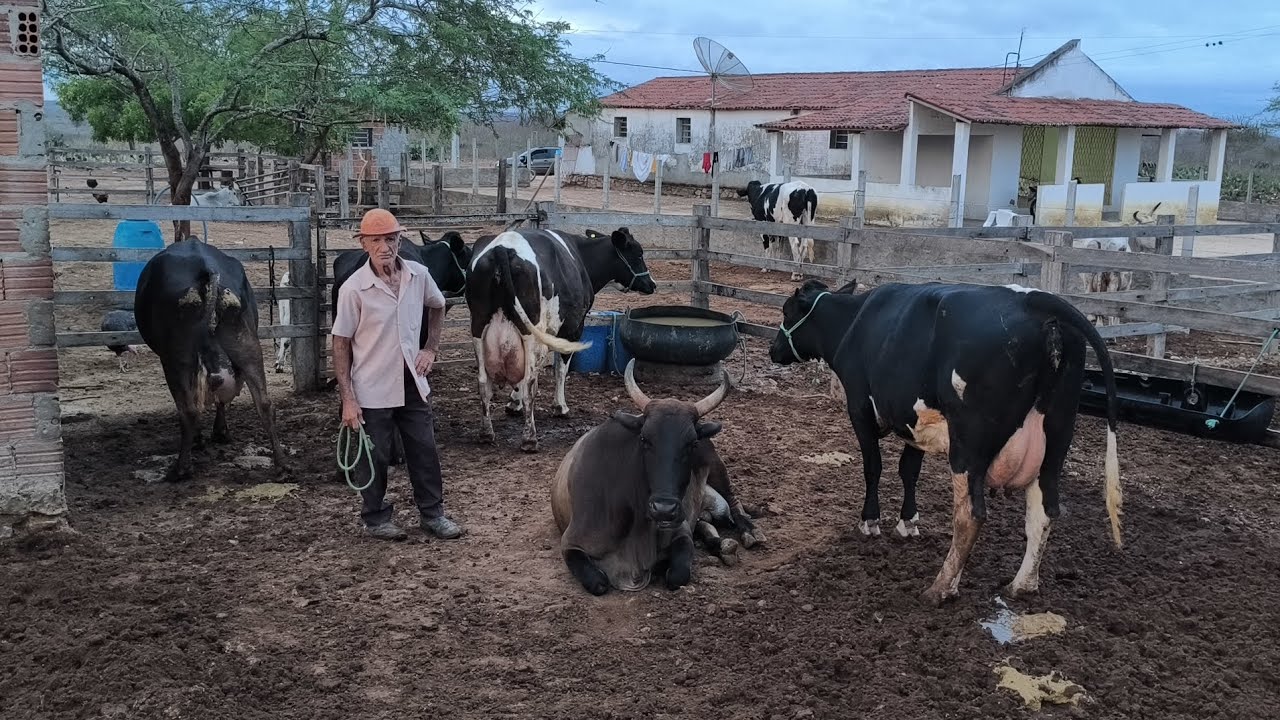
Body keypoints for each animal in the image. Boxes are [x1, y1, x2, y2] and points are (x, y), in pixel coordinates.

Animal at [134, 238, 288, 482]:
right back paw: (281, 465)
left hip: (177, 356)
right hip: (247, 344)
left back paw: (181, 468)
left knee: (189, 409)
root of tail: (205, 268)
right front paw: (220, 431)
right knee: (264, 403)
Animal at [466, 226, 657, 452]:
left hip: (479, 328)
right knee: (528, 382)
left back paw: (486, 433)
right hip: (531, 330)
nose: (652, 284)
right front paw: (560, 407)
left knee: (483, 382)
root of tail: (502, 249)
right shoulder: (573, 328)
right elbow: (560, 369)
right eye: (638, 254)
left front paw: (514, 403)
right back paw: (529, 439)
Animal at [551, 359, 761, 595]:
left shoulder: (680, 531)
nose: (664, 509)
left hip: (717, 468)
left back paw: (749, 533)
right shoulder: (571, 543)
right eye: (644, 439)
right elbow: (598, 583)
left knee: (734, 502)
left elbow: (678, 575)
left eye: (692, 443)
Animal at [768, 278, 1123, 606]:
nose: (773, 350)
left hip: (969, 442)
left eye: (786, 311)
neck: (853, 322)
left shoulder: (859, 408)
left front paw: (870, 521)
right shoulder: (912, 420)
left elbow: (873, 468)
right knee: (1044, 510)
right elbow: (908, 470)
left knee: (970, 514)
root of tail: (1035, 301)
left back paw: (941, 587)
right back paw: (1022, 585)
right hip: (1056, 438)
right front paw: (907, 522)